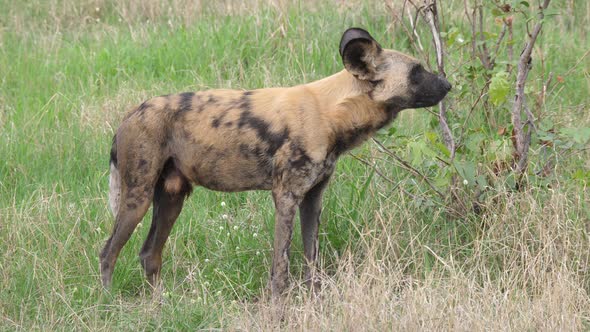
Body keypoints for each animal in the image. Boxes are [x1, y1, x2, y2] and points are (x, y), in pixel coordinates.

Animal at [102, 27, 454, 296]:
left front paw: (314, 301)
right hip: (137, 198)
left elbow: (312, 261)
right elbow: (281, 268)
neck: (331, 113)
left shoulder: (312, 199)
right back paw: (109, 304)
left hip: (172, 198)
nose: (448, 83)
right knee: (108, 252)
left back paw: (159, 304)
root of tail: (129, 116)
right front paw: (278, 309)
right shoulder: (286, 196)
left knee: (149, 254)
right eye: (417, 72)